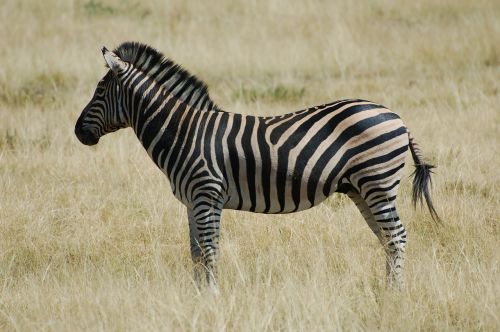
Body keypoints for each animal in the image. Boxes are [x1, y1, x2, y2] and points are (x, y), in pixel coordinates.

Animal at [73, 42, 438, 290]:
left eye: (100, 90)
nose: (77, 132)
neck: (183, 131)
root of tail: (397, 117)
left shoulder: (207, 194)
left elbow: (209, 249)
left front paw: (212, 297)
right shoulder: (192, 200)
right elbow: (195, 251)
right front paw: (198, 296)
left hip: (378, 184)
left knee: (397, 237)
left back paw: (394, 295)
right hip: (362, 189)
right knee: (387, 239)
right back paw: (385, 290)